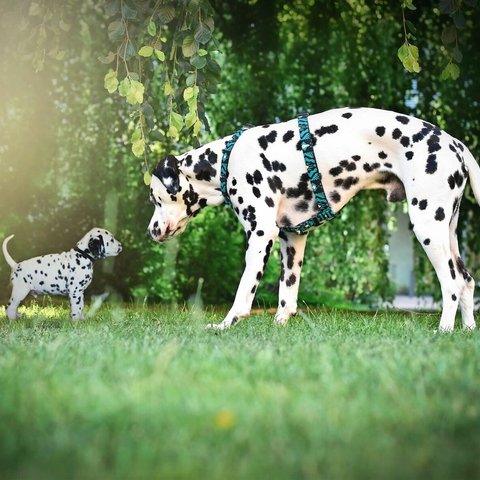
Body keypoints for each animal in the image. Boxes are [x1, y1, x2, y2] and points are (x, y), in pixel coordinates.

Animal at [147, 105, 480, 332]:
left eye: (155, 198)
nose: (150, 231)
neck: (227, 160)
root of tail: (455, 143)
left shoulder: (260, 235)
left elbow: (244, 290)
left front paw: (226, 324)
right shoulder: (292, 238)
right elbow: (287, 293)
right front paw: (280, 325)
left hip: (427, 227)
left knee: (451, 283)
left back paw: (444, 329)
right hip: (447, 233)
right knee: (466, 281)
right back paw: (466, 329)